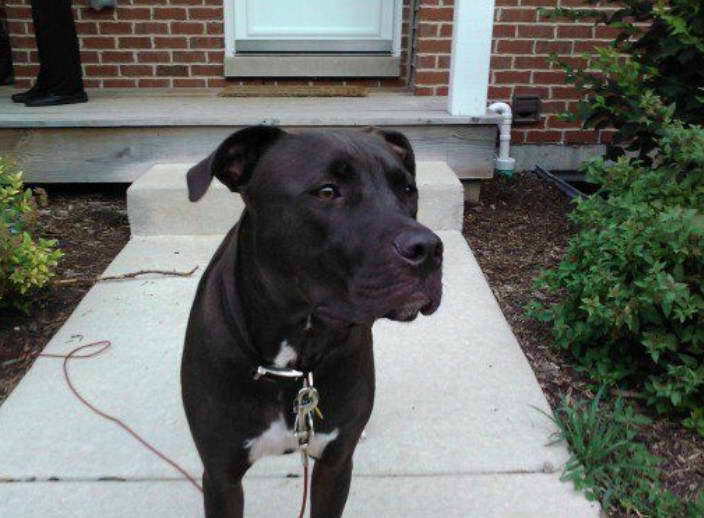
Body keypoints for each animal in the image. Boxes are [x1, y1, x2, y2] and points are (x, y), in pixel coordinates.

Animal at [183, 127, 446, 518]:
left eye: (407, 189)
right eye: (326, 191)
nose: (428, 249)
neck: (294, 358)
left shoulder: (335, 467)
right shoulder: (220, 478)